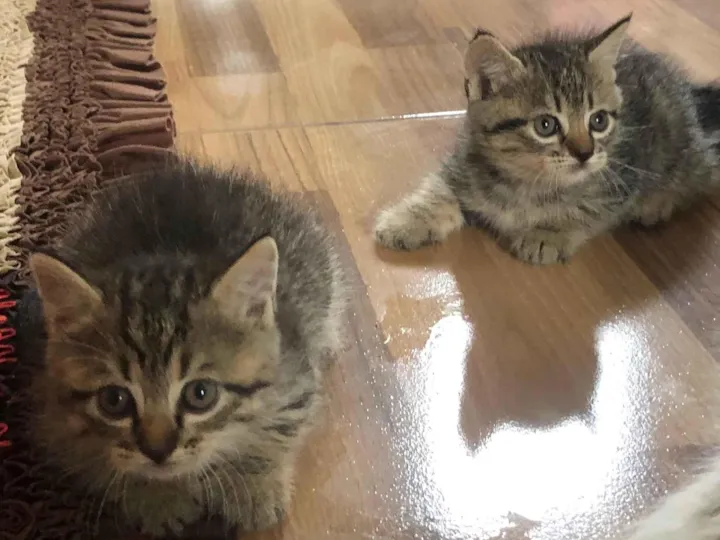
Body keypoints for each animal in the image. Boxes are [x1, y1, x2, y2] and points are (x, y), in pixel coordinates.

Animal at [25, 159, 347, 537]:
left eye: (201, 394)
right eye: (113, 401)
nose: (158, 451)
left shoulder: (295, 370)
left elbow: (280, 427)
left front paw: (253, 486)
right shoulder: (55, 421)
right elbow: (99, 463)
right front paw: (158, 497)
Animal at [374, 15, 720, 265]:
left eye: (598, 120)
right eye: (545, 125)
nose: (585, 153)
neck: (525, 184)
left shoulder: (620, 181)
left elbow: (588, 210)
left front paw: (548, 233)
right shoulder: (461, 166)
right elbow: (437, 189)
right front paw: (406, 220)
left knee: (704, 172)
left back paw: (658, 202)